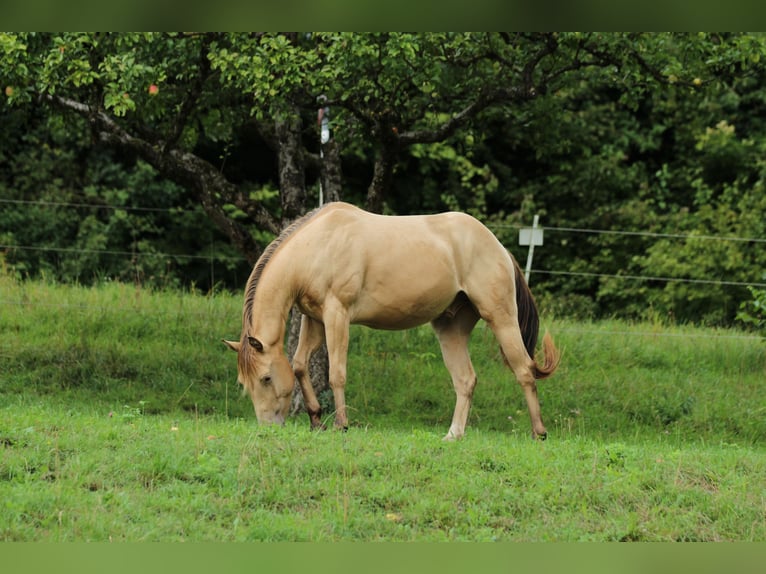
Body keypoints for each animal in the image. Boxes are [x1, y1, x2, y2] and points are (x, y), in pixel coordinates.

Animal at [223, 201, 560, 440]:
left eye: (266, 378)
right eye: (244, 382)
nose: (267, 427)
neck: (317, 246)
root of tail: (498, 246)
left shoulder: (337, 315)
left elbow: (336, 374)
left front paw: (341, 425)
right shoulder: (314, 319)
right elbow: (299, 365)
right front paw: (316, 420)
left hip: (500, 317)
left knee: (524, 372)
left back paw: (539, 432)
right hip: (450, 329)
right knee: (465, 380)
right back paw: (453, 435)